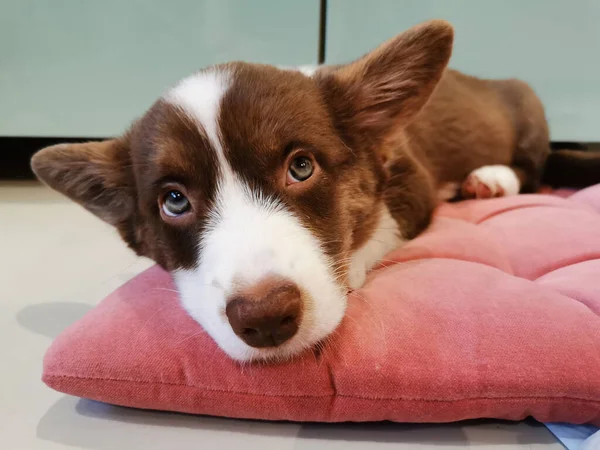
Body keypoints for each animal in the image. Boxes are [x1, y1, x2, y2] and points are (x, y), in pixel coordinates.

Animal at [30, 21, 600, 362]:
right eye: (174, 201)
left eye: (301, 167)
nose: (265, 319)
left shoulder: (411, 183)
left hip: (528, 109)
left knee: (535, 168)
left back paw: (491, 177)